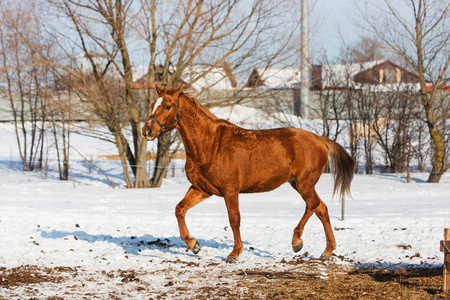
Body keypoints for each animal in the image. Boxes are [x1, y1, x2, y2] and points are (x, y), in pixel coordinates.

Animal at [142, 85, 356, 262]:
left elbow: (234, 220)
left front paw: (234, 254)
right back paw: (327, 251)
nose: (147, 130)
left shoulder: (230, 191)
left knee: (312, 206)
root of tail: (319, 139)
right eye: (152, 104)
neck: (210, 145)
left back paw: (297, 242)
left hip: (304, 184)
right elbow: (179, 209)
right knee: (321, 209)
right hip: (298, 184)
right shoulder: (201, 189)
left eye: (168, 106)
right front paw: (194, 245)